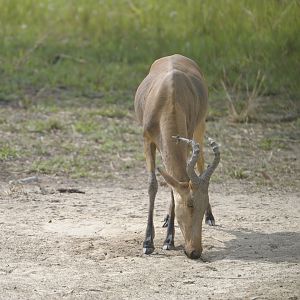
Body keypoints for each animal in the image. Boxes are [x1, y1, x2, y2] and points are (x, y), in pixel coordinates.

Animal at [134, 53, 220, 258]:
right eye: (190, 204)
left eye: (202, 204)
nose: (195, 251)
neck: (168, 97)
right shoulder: (147, 141)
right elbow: (154, 184)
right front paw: (148, 243)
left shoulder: (186, 141)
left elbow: (174, 188)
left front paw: (169, 241)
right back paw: (166, 218)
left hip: (200, 126)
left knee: (201, 164)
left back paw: (211, 217)